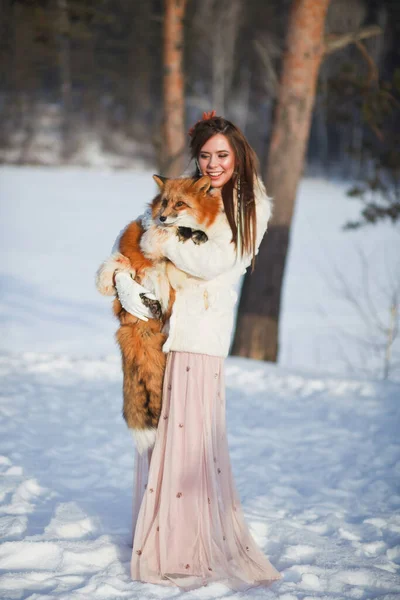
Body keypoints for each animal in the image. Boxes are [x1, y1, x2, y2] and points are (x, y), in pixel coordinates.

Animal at [96, 176, 222, 452]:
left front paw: (196, 233)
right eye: (163, 203)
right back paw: (147, 301)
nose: (163, 217)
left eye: (179, 203)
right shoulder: (151, 235)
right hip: (136, 272)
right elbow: (166, 233)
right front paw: (184, 232)